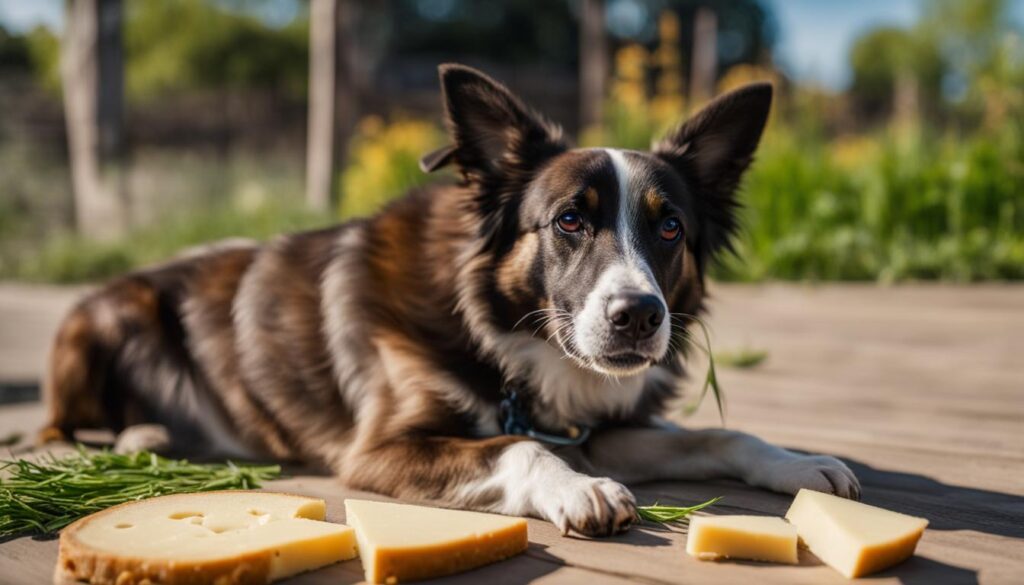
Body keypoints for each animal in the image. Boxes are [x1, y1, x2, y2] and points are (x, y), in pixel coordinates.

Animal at [39, 64, 856, 536]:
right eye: (569, 220)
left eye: (670, 226)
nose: (639, 317)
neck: (497, 329)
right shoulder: (379, 450)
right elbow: (517, 444)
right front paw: (577, 490)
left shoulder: (600, 427)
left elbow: (722, 435)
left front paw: (801, 463)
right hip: (101, 321)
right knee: (55, 428)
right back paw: (138, 434)